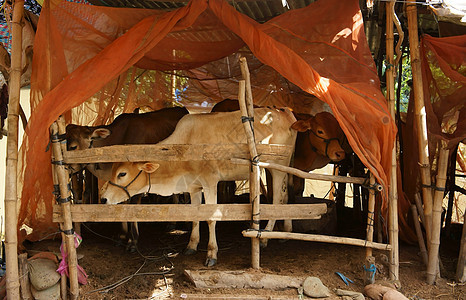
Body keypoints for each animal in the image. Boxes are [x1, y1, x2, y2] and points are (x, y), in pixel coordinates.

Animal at [65, 106, 189, 251]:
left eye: (73, 147)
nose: (64, 167)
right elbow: (122, 204)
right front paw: (123, 236)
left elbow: (133, 206)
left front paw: (133, 241)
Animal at [101, 108, 298, 268]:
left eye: (122, 174)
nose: (104, 198)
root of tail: (286, 113)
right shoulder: (193, 186)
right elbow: (195, 216)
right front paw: (191, 245)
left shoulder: (210, 182)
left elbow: (210, 218)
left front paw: (211, 254)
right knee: (285, 197)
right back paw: (285, 231)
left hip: (277, 167)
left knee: (277, 199)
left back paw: (265, 237)